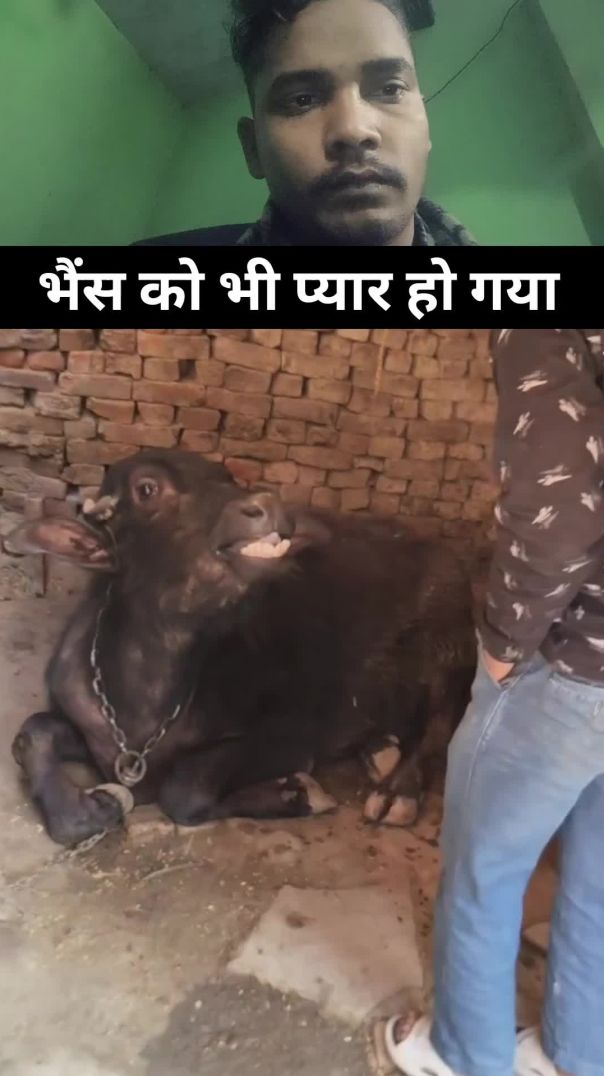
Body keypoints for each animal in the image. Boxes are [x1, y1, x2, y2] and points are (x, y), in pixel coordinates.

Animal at [4, 448, 476, 847]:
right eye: (147, 488)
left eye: (225, 475)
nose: (267, 505)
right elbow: (33, 731)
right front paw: (89, 809)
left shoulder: (294, 734)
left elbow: (186, 787)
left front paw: (298, 793)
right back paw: (380, 750)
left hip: (448, 643)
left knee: (441, 723)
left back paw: (398, 789)